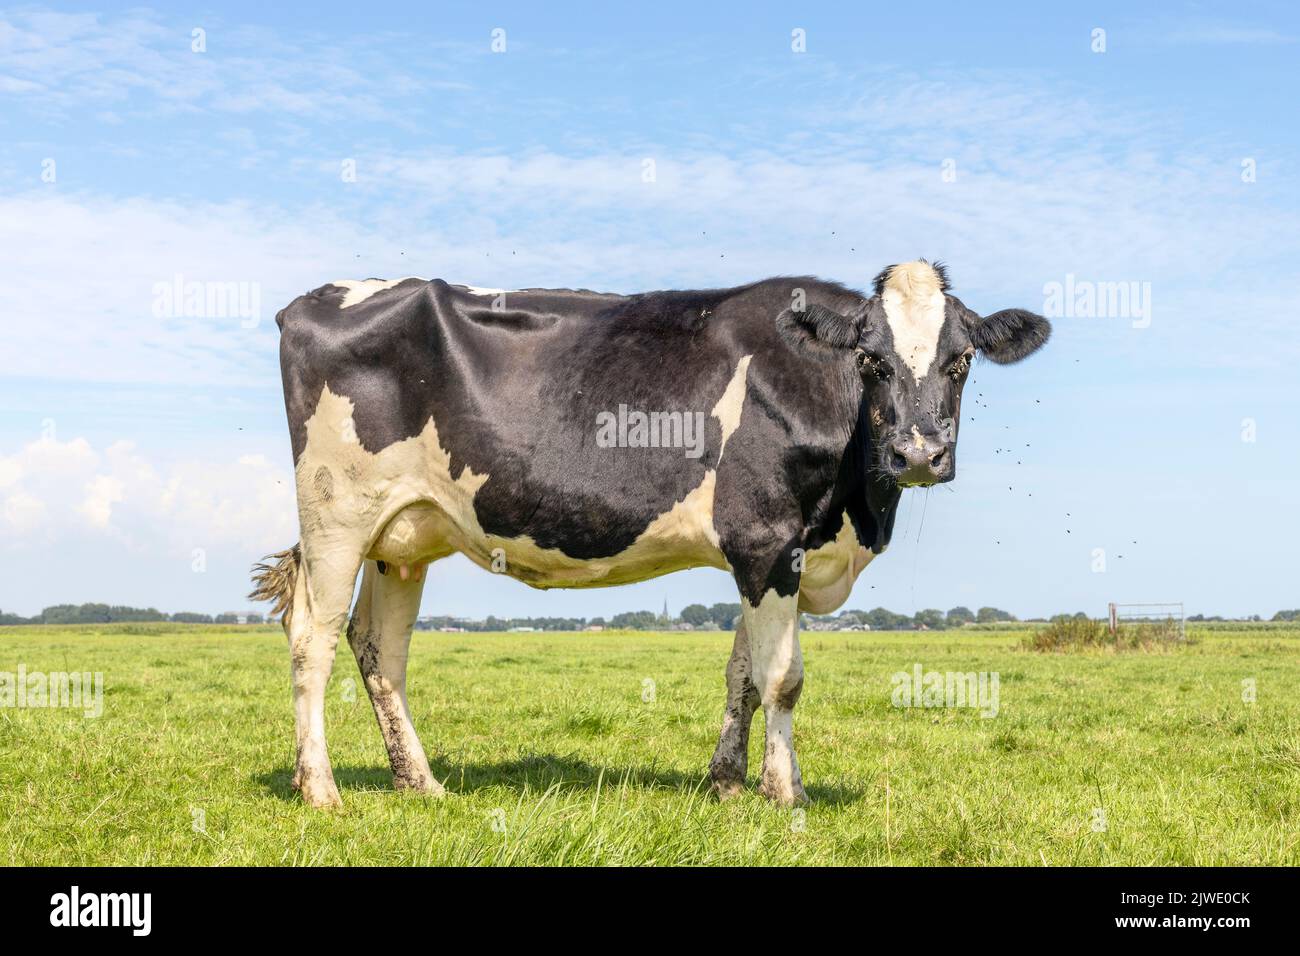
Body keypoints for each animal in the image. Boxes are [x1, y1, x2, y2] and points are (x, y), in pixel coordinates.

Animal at [250, 261, 1045, 806]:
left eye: (960, 361)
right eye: (872, 360)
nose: (919, 454)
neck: (853, 516)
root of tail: (311, 301)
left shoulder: (766, 555)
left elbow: (742, 673)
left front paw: (727, 784)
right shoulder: (766, 538)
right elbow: (782, 678)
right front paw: (785, 792)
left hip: (402, 535)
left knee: (379, 648)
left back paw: (420, 782)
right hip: (336, 514)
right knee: (313, 639)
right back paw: (320, 788)